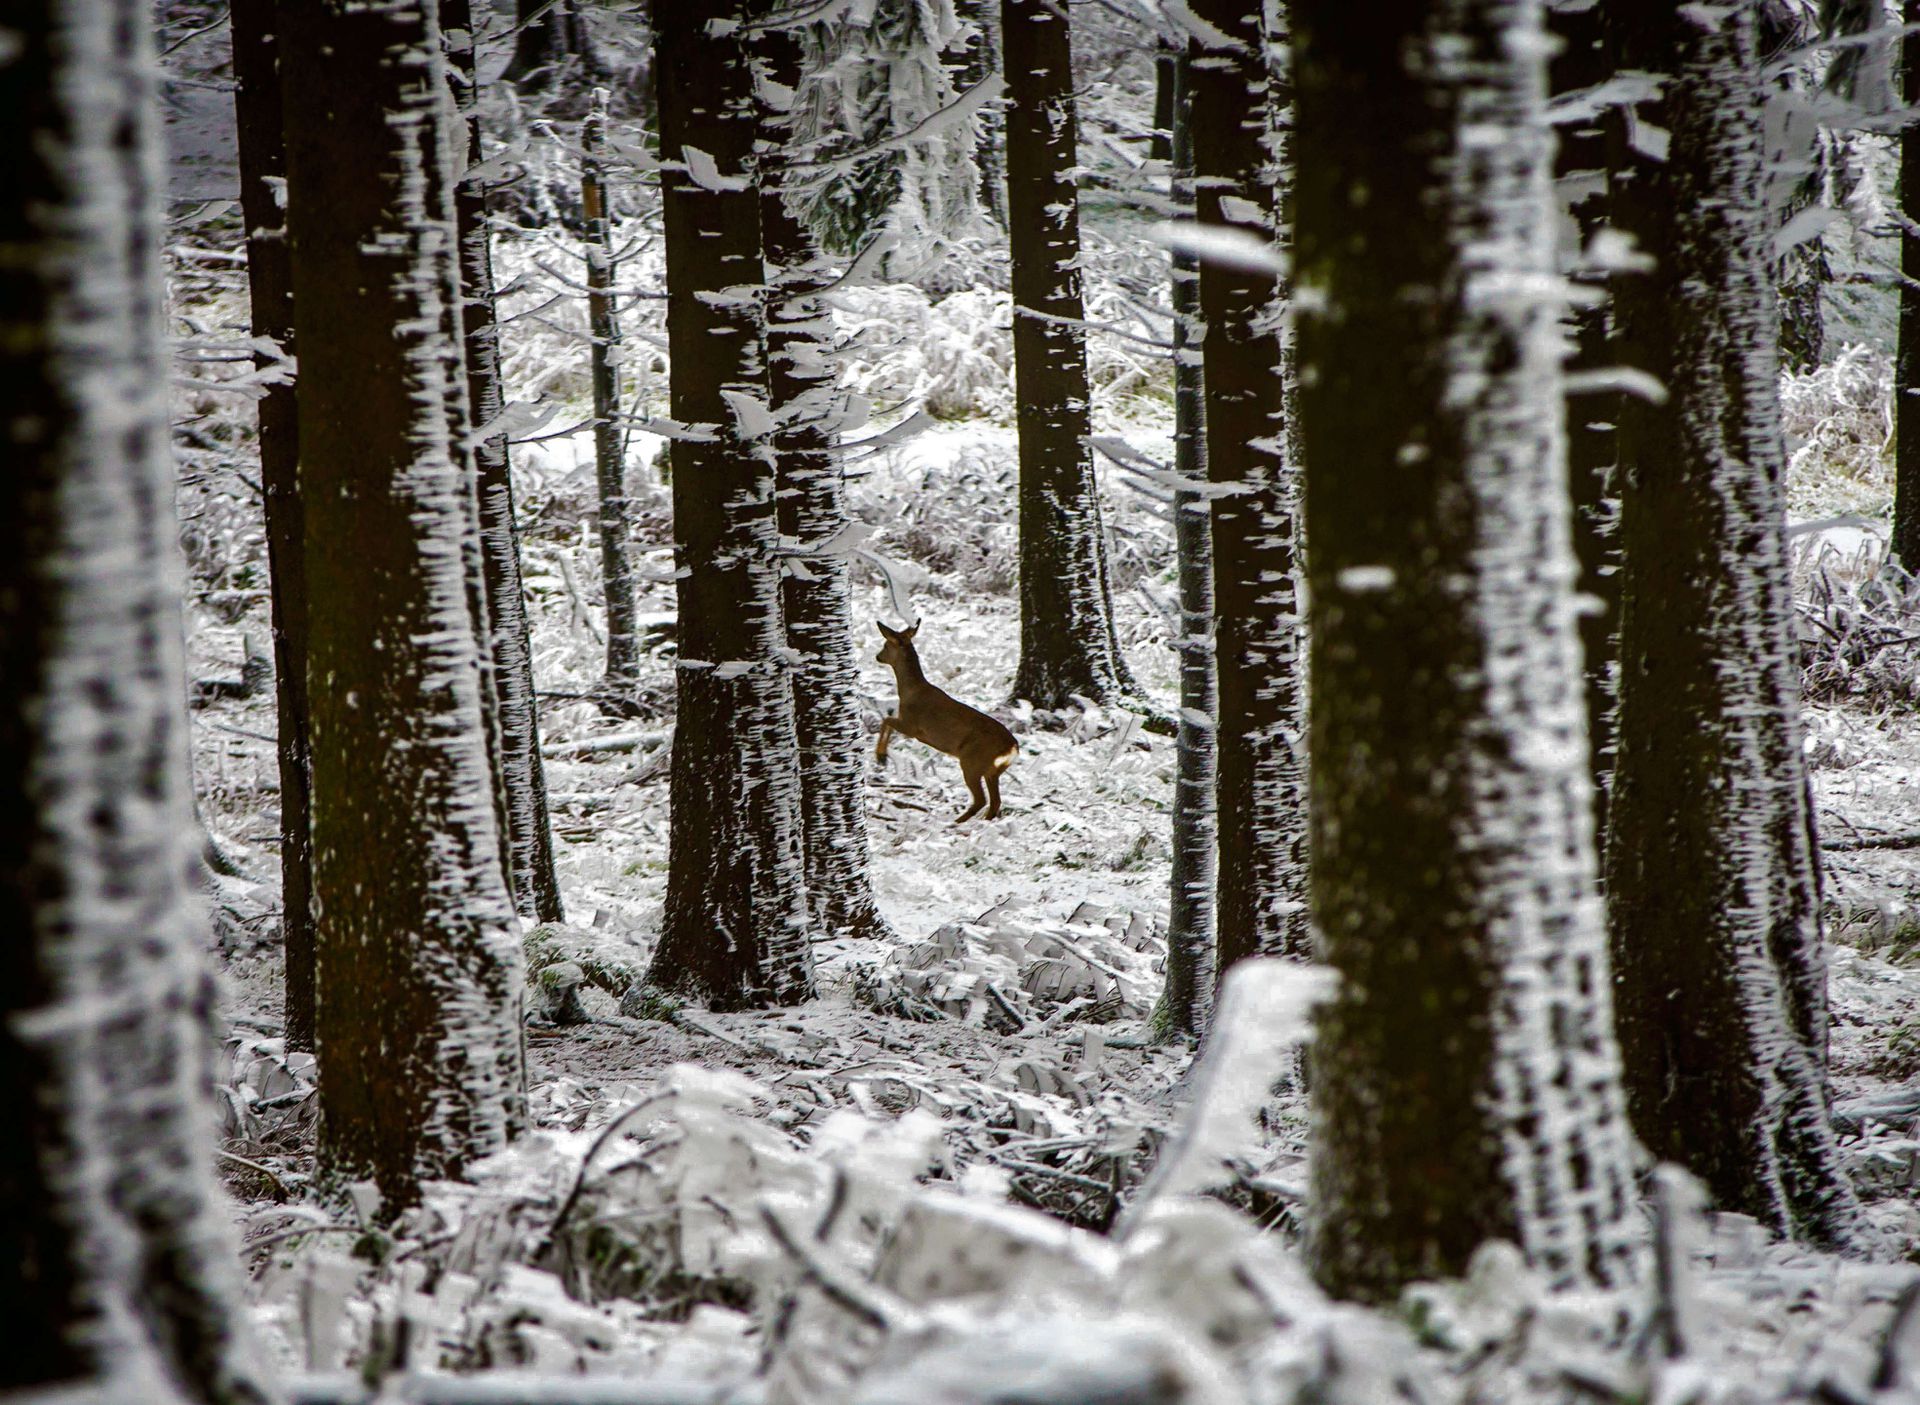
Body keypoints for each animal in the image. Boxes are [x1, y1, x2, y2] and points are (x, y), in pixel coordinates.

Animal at [873, 620, 1019, 823]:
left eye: (886, 645)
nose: (877, 656)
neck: (910, 691)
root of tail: (1012, 747)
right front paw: (882, 756)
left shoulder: (912, 726)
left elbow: (886, 720)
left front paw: (881, 756)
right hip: (993, 769)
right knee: (995, 801)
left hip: (972, 761)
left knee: (981, 799)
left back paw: (954, 823)